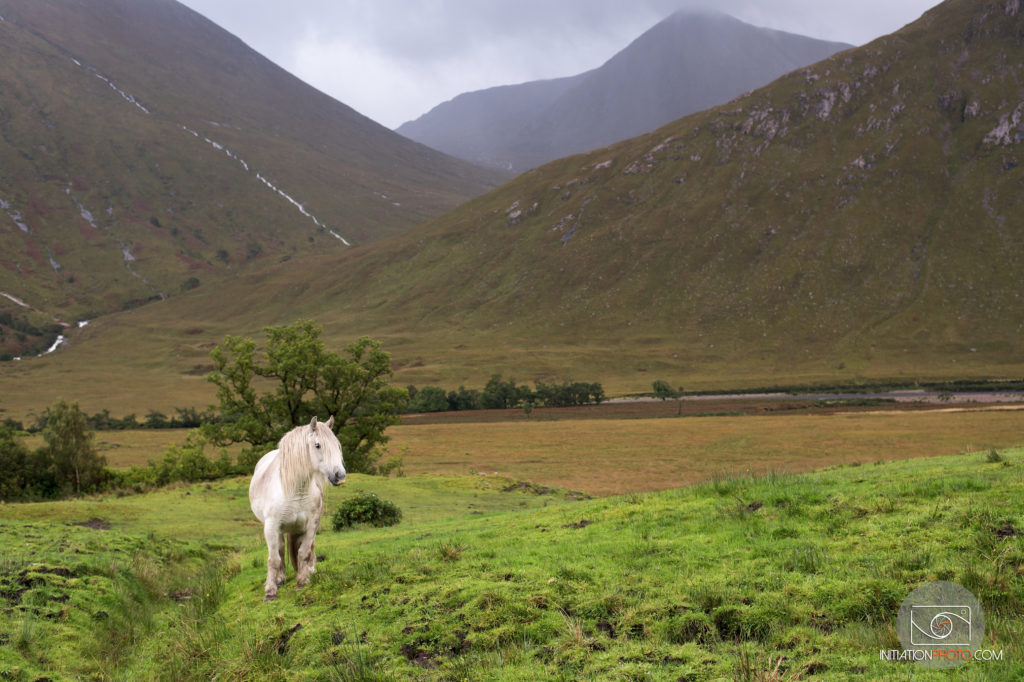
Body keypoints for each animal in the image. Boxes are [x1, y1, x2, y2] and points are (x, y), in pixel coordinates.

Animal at [248, 413, 346, 602]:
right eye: (317, 445)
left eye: (337, 445)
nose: (340, 476)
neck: (296, 491)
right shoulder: (271, 527)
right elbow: (274, 559)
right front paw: (270, 592)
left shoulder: (311, 526)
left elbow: (304, 553)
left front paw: (302, 582)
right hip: (277, 530)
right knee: (279, 551)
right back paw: (280, 579)